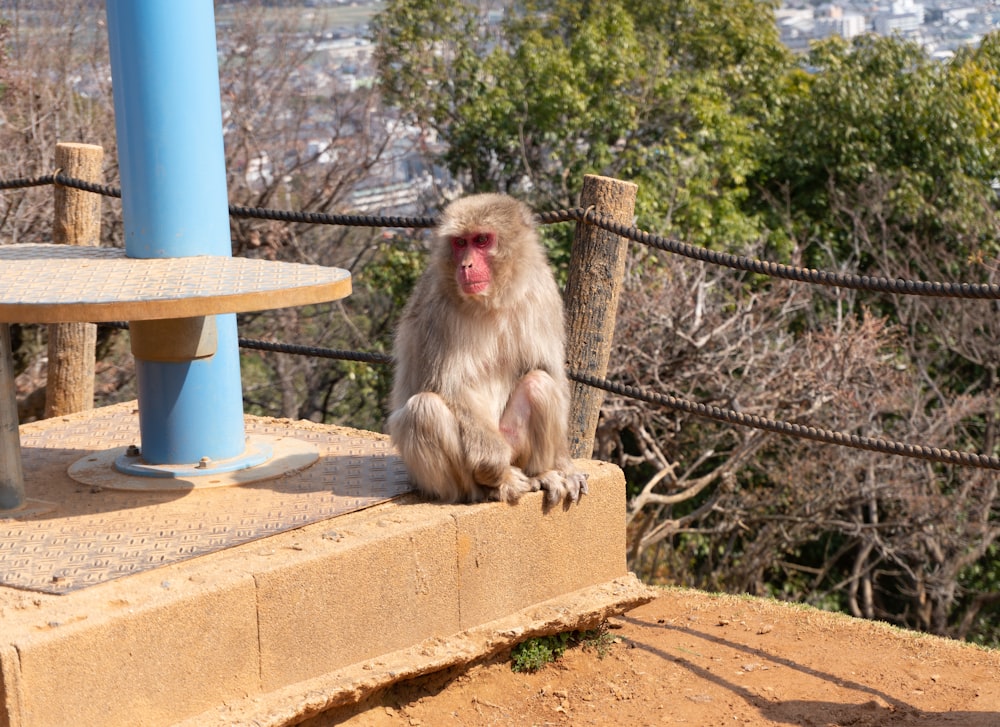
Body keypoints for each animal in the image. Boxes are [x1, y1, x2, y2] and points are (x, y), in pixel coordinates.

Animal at [384, 192, 584, 506]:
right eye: (459, 243)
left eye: (481, 240)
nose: (465, 265)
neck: (493, 302)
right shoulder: (436, 309)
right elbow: (448, 387)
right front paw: (493, 467)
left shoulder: (543, 292)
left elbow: (550, 371)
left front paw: (565, 466)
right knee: (424, 410)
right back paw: (496, 484)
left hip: (512, 443)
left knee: (539, 383)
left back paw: (541, 473)